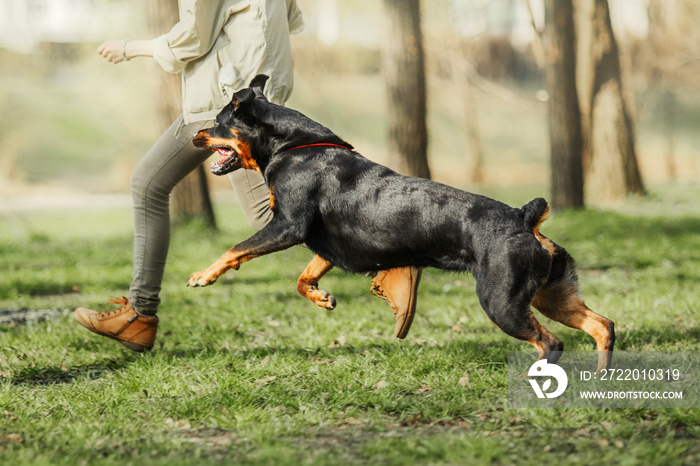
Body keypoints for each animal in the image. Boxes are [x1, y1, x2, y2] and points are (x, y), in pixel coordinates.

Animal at [187, 73, 612, 372]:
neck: (292, 146)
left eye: (218, 122)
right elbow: (303, 279)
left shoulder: (288, 225)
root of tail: (526, 219)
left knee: (551, 343)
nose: (195, 134)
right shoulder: (326, 244)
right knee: (601, 325)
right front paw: (323, 298)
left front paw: (202, 276)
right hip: (549, 294)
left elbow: (235, 249)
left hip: (502, 301)